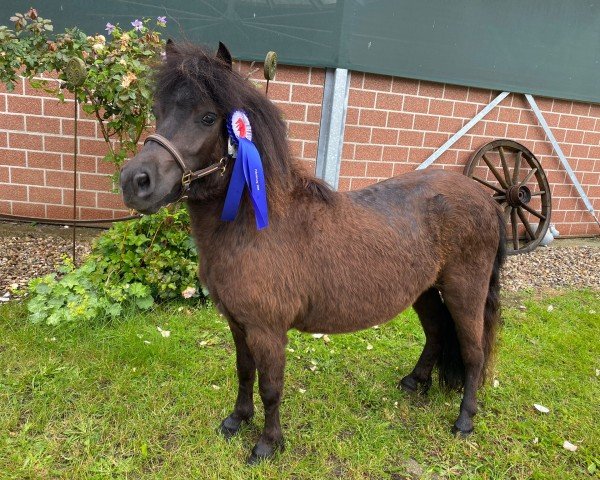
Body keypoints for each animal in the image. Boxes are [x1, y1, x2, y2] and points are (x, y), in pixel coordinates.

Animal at [122, 42, 506, 464]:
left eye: (208, 117)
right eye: (159, 111)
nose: (135, 182)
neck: (253, 225)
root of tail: (486, 198)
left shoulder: (267, 330)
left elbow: (271, 387)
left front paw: (267, 444)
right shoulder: (238, 324)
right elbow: (244, 372)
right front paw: (236, 421)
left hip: (465, 290)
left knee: (473, 352)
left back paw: (464, 421)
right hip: (423, 290)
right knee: (437, 332)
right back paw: (414, 382)